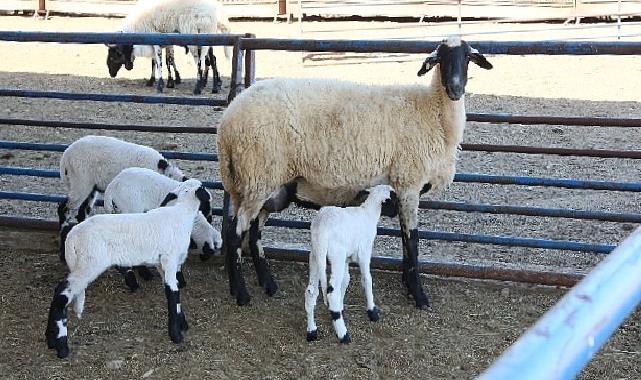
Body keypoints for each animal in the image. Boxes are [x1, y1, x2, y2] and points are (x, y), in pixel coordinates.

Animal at [45, 180, 210, 358]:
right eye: (202, 188)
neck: (182, 214)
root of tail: (72, 235)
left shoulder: (162, 265)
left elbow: (172, 292)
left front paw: (182, 325)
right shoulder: (170, 261)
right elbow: (173, 293)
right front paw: (176, 335)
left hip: (82, 265)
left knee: (59, 291)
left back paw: (50, 340)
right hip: (88, 265)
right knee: (62, 293)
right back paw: (62, 347)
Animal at [218, 36, 492, 308]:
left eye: (467, 58)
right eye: (440, 59)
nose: (455, 89)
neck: (432, 113)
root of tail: (226, 124)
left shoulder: (402, 188)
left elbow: (405, 240)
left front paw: (408, 285)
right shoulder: (408, 183)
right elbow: (412, 240)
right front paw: (419, 295)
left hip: (265, 184)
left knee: (253, 232)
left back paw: (268, 284)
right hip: (257, 175)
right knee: (233, 235)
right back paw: (241, 293)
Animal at [304, 184, 390, 344]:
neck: (369, 213)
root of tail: (321, 229)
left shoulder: (346, 259)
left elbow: (346, 280)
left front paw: (340, 306)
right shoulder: (364, 253)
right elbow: (367, 279)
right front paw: (372, 312)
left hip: (316, 257)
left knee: (311, 291)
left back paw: (312, 332)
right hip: (336, 255)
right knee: (331, 291)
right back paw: (343, 334)